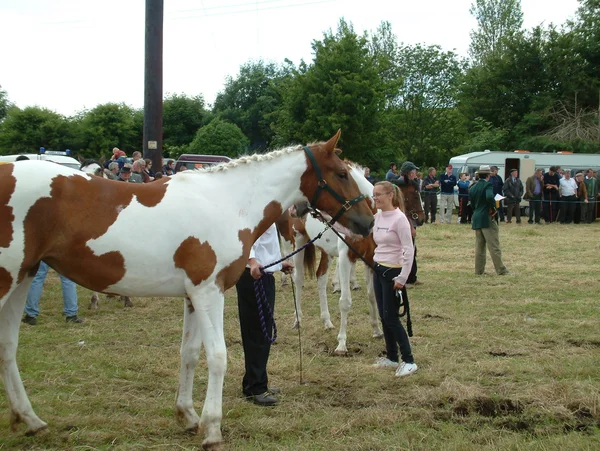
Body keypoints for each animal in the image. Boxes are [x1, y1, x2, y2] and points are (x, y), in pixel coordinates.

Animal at [0, 132, 372, 450]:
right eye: (342, 173)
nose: (367, 222)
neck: (228, 202)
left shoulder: (193, 296)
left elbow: (190, 353)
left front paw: (189, 416)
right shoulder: (210, 292)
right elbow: (218, 357)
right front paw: (212, 429)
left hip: (23, 278)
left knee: (8, 348)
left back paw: (31, 420)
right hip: (8, 279)